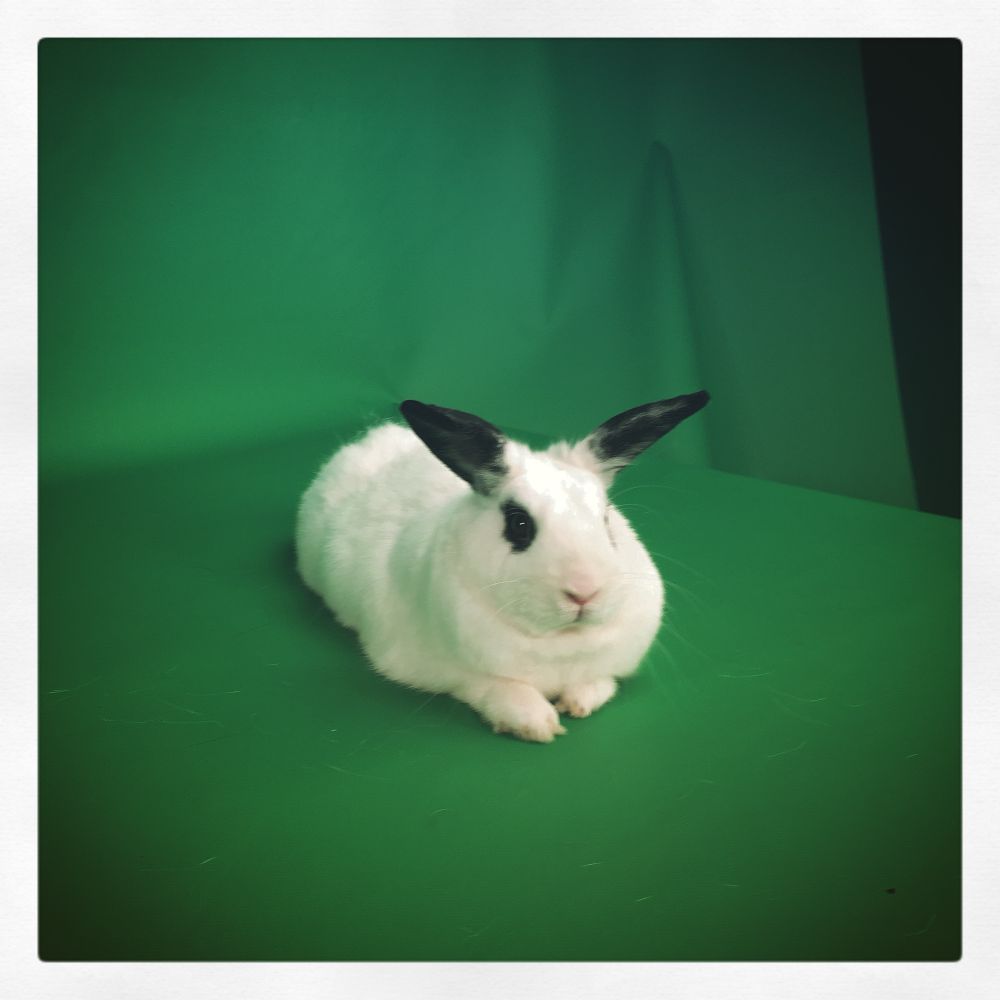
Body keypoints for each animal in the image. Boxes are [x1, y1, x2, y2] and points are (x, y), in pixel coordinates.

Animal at [295, 391, 710, 743]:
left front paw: (578, 702)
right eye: (519, 524)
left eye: (606, 518)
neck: (561, 644)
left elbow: (600, 680)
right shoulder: (443, 670)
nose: (584, 592)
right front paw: (537, 724)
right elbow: (497, 687)